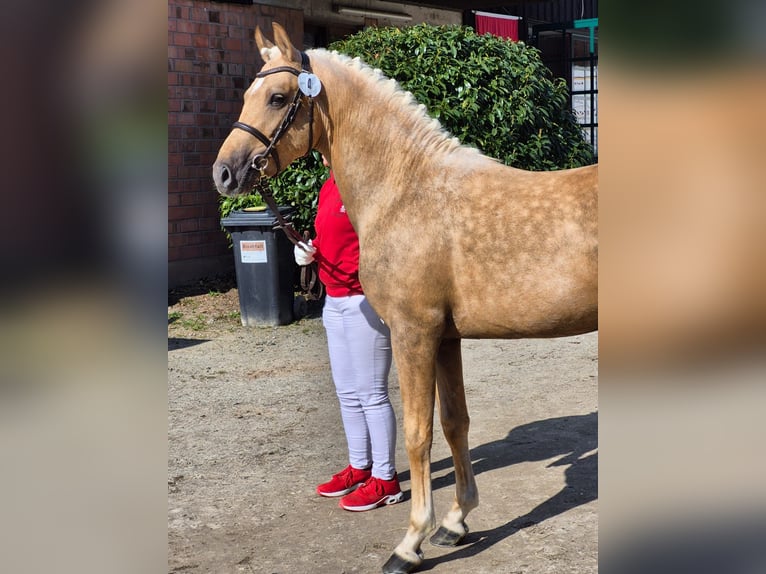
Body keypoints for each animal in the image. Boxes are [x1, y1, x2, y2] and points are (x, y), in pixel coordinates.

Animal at [212, 22, 600, 574]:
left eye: (279, 97)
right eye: (247, 93)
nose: (224, 173)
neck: (407, 190)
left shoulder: (413, 333)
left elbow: (417, 435)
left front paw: (411, 541)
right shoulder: (445, 338)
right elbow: (456, 423)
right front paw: (455, 523)